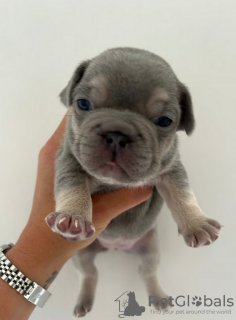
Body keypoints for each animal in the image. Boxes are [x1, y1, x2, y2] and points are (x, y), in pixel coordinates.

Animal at [45, 48, 222, 318]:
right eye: (83, 104)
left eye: (164, 121)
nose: (117, 134)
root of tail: (116, 247)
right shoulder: (69, 159)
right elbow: (72, 185)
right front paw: (73, 216)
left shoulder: (171, 170)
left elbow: (182, 194)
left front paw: (196, 223)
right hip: (82, 251)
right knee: (89, 273)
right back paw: (84, 300)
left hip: (150, 248)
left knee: (147, 272)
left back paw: (159, 297)